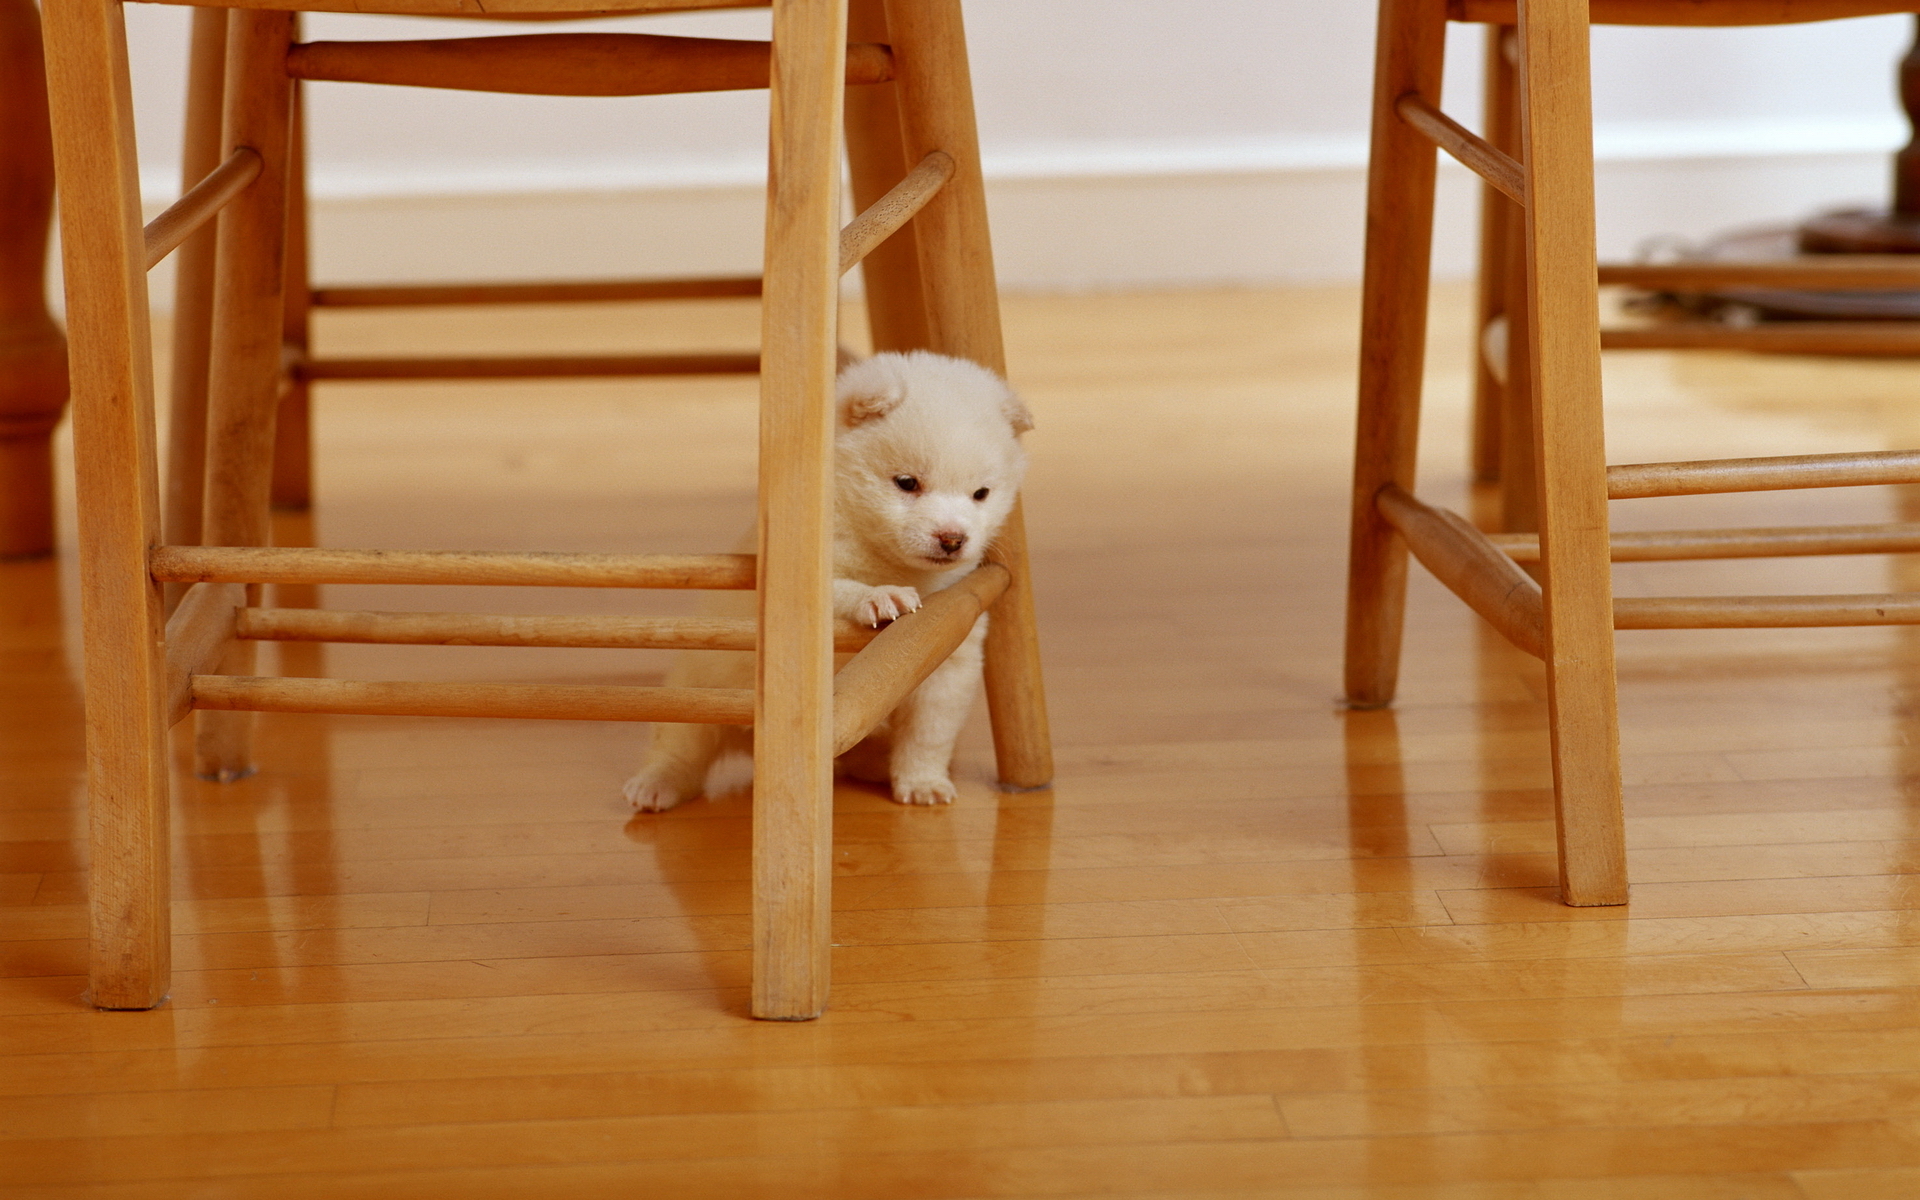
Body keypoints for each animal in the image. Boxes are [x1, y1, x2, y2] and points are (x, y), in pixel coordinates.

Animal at [622, 351, 1029, 810]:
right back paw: (656, 784)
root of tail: (750, 738)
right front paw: (880, 597)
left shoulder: (949, 668)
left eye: (981, 494)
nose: (952, 539)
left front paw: (923, 781)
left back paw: (873, 764)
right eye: (907, 483)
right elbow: (841, 588)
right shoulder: (798, 578)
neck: (885, 557)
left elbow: (927, 737)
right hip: (696, 693)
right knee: (680, 750)